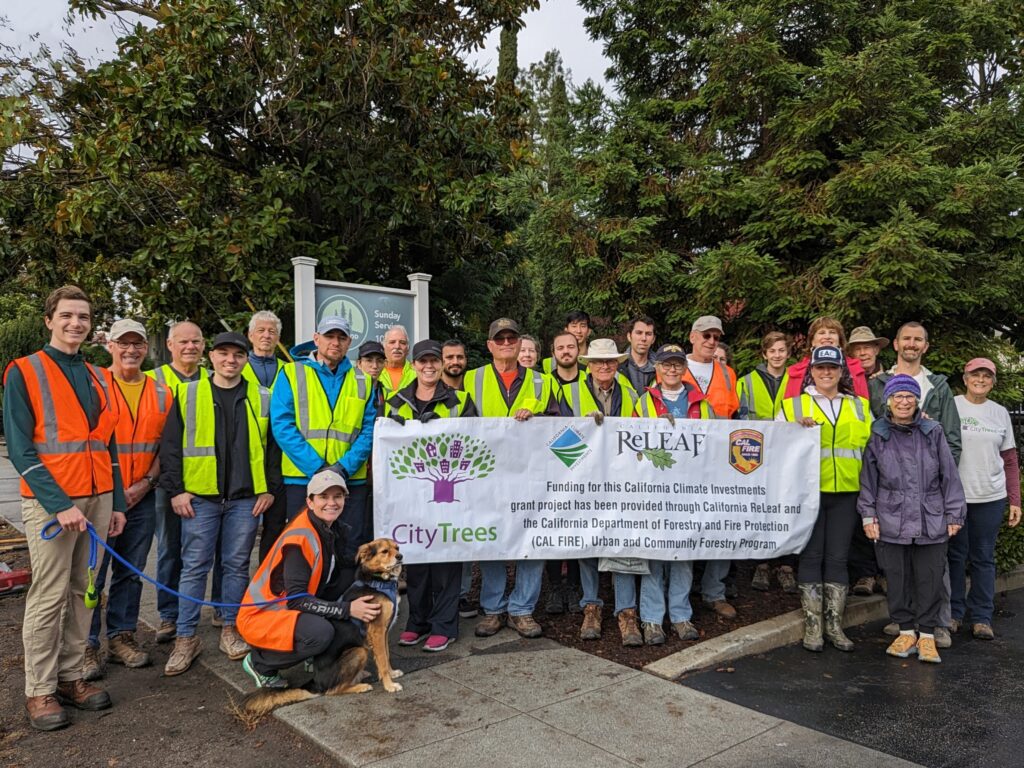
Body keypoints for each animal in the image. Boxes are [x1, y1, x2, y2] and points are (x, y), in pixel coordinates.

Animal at [245, 536, 405, 720]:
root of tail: (316, 682)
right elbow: (383, 660)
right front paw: (389, 685)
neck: (377, 580)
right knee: (333, 690)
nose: (400, 556)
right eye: (385, 551)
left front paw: (392, 673)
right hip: (359, 651)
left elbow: (386, 656)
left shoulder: (384, 630)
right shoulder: (377, 631)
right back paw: (360, 686)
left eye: (397, 548)